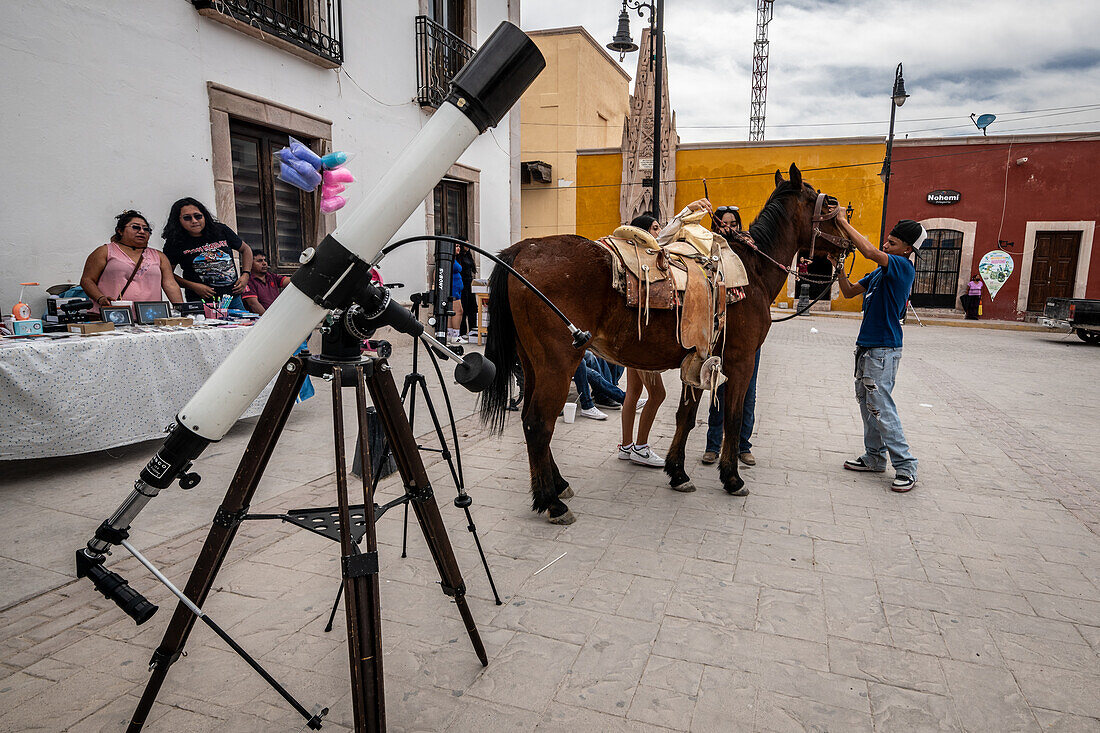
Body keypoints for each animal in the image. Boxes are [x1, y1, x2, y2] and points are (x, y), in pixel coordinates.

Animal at [477, 162, 844, 521]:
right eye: (828, 203)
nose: (847, 240)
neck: (750, 273)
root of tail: (522, 249)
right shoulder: (740, 361)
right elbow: (733, 417)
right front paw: (732, 477)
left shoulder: (701, 359)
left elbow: (687, 416)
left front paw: (678, 472)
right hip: (558, 363)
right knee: (539, 423)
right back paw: (551, 502)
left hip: (532, 364)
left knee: (531, 420)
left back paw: (557, 486)